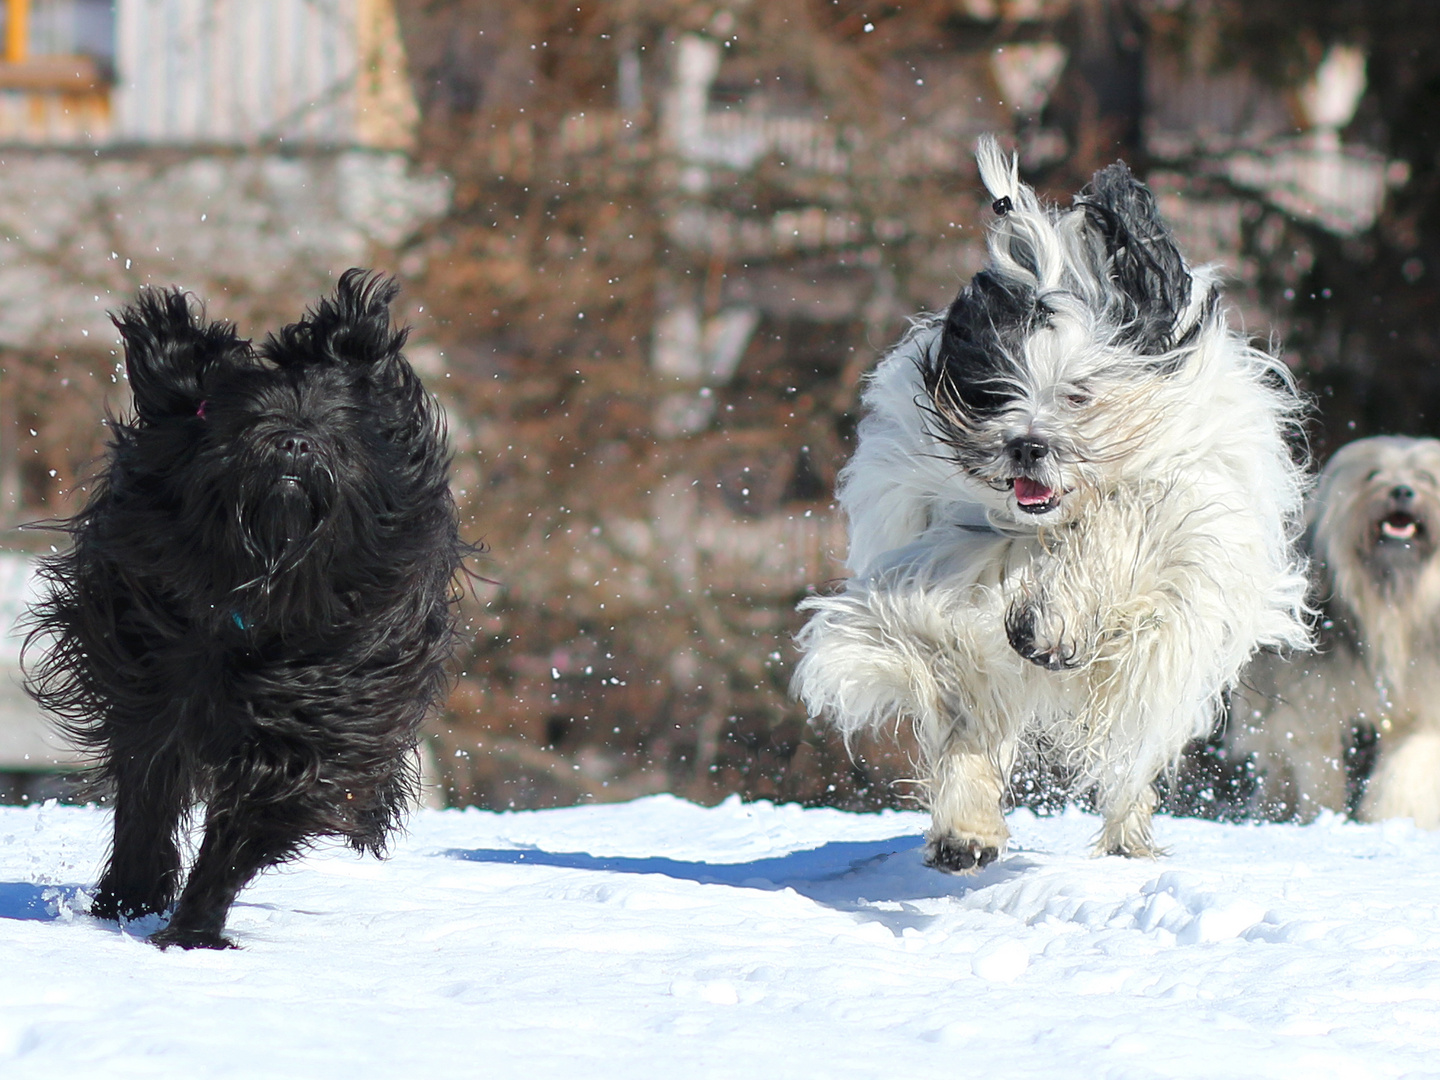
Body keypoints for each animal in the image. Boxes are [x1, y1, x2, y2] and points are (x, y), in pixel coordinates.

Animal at [25, 269, 466, 944]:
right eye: (241, 420)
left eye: (338, 432)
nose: (293, 442)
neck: (253, 594)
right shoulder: (150, 678)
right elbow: (147, 788)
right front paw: (129, 899)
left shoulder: (323, 702)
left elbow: (256, 813)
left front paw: (191, 930)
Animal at [794, 141, 1313, 869]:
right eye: (997, 390)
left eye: (1079, 393)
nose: (1027, 445)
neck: (1043, 528)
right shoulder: (936, 579)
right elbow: (954, 688)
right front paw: (966, 824)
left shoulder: (1178, 527)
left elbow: (1120, 538)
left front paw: (1056, 619)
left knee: (1136, 751)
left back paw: (1127, 837)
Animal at [1232, 434, 1440, 823]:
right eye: (1373, 475)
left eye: (1426, 478)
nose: (1401, 491)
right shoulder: (1312, 703)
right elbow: (1318, 764)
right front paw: (1322, 816)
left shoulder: (1423, 703)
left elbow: (1405, 765)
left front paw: (1385, 815)